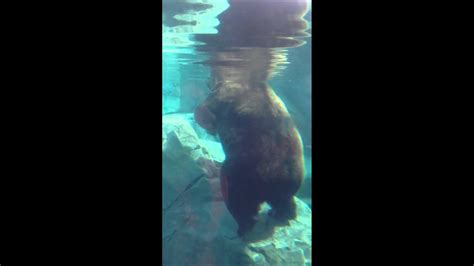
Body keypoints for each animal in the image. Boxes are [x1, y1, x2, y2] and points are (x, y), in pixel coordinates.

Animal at [194, 80, 306, 236]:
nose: (207, 81)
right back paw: (282, 214)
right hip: (291, 175)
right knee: (284, 200)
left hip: (244, 173)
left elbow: (206, 109)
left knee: (238, 200)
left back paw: (244, 227)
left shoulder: (223, 97)